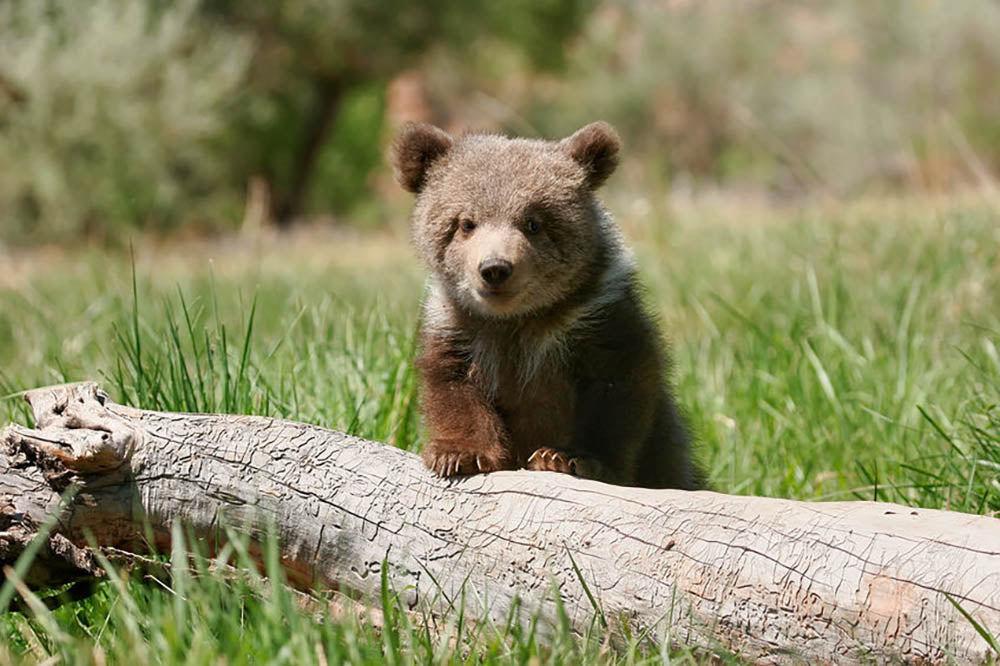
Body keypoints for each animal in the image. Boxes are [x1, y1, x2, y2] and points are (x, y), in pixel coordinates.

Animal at [391, 120, 702, 489]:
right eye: (466, 223)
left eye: (533, 222)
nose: (495, 268)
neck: (519, 319)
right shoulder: (459, 326)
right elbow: (453, 385)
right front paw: (459, 454)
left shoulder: (596, 320)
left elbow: (615, 392)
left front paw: (567, 457)